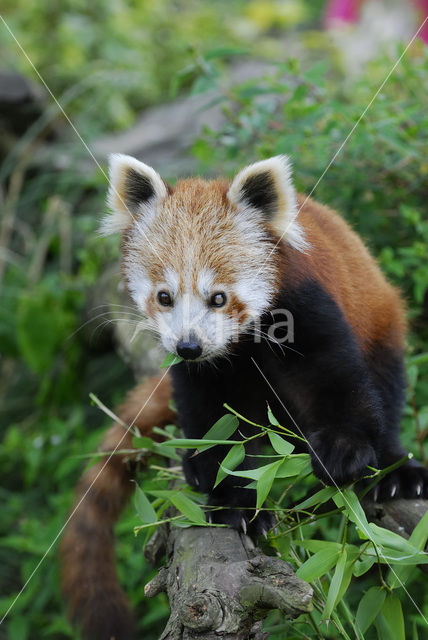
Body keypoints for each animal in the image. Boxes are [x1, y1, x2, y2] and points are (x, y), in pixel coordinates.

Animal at [61, 155, 428, 640]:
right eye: (165, 296)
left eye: (218, 297)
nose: (189, 345)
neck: (238, 347)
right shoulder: (202, 378)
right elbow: (214, 425)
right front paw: (234, 501)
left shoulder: (304, 307)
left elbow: (337, 380)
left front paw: (342, 453)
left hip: (380, 319)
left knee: (384, 387)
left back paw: (395, 471)